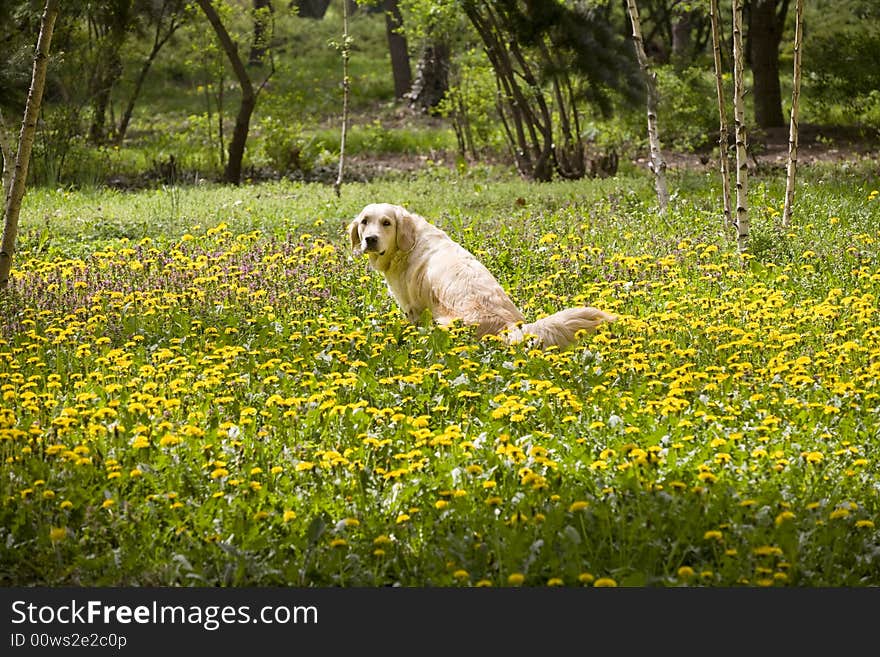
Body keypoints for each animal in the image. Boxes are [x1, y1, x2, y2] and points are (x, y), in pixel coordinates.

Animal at [348, 204, 616, 348]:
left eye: (386, 223)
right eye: (364, 222)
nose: (370, 239)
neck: (408, 243)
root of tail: (510, 327)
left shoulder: (412, 308)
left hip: (444, 323)